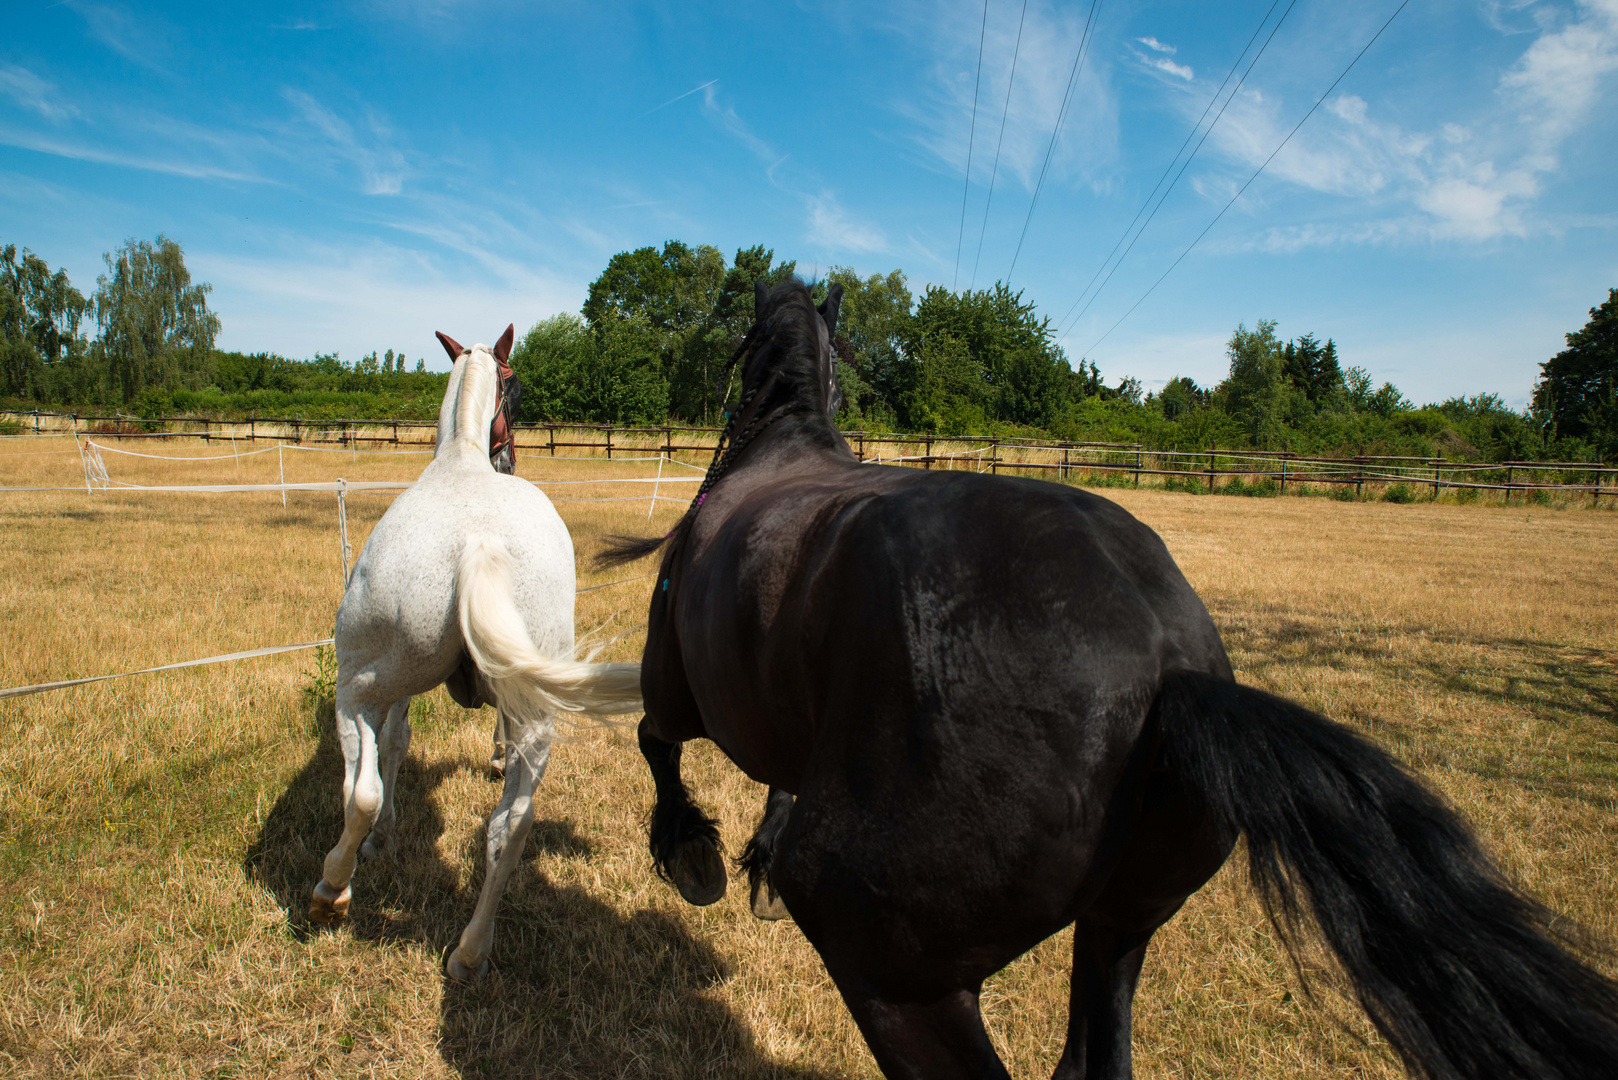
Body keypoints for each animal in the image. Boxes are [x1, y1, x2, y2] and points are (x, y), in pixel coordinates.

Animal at [305, 325, 640, 984]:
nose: (507, 457)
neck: (459, 458)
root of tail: (478, 543)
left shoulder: (395, 695)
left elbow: (393, 750)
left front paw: (380, 841)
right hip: (536, 717)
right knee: (510, 829)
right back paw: (470, 951)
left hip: (357, 685)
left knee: (361, 791)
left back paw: (333, 887)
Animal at [608, 281, 1618, 1080]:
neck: (776, 449)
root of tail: (1172, 673)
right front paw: (753, 859)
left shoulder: (676, 688)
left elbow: (654, 744)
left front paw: (693, 854)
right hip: (1122, 927)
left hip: (897, 975)